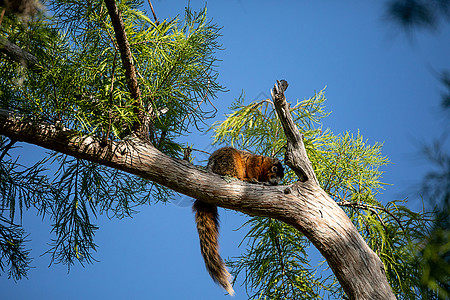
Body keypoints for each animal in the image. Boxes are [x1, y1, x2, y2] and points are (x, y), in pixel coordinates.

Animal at [192, 147, 284, 296]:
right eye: (274, 169)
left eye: (281, 177)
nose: (275, 182)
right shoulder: (255, 161)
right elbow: (252, 166)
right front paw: (255, 179)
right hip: (229, 160)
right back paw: (246, 179)